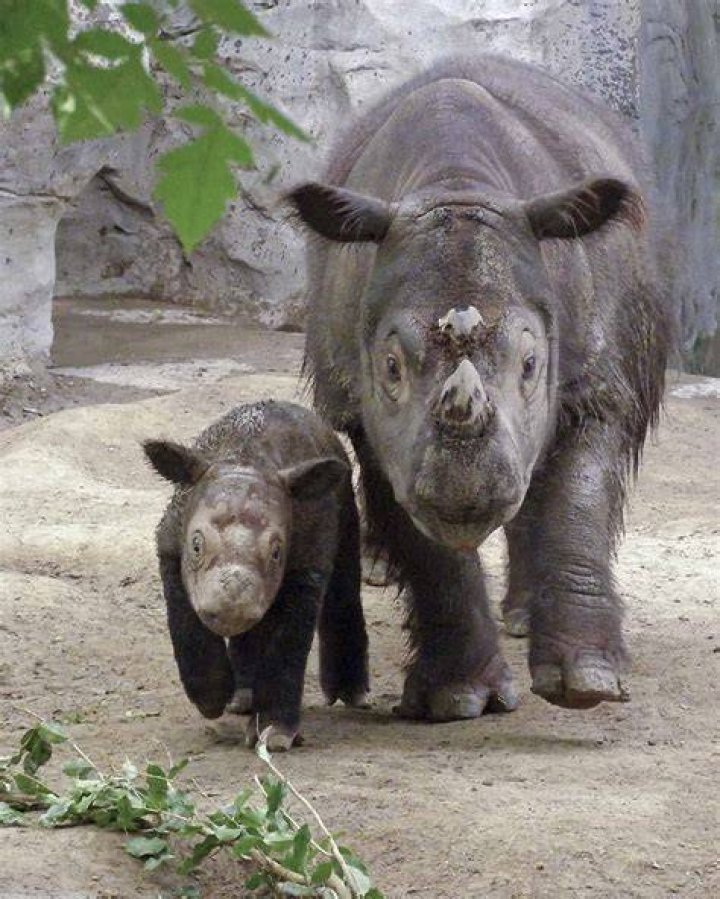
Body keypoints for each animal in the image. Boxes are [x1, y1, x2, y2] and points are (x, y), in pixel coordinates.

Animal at [289, 55, 672, 720]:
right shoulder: (372, 417)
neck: (456, 184)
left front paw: (586, 684)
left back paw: (522, 620)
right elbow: (423, 538)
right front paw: (457, 699)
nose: (468, 498)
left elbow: (579, 499)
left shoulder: (595, 383)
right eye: (391, 367)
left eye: (531, 364)